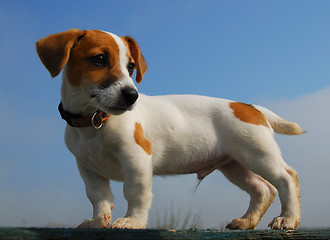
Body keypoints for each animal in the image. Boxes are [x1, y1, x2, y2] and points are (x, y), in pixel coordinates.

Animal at [35, 29, 304, 230]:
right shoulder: (88, 167)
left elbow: (135, 192)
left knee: (286, 177)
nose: (132, 96)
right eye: (99, 59)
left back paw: (288, 218)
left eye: (130, 67)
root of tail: (249, 107)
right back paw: (247, 221)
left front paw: (132, 221)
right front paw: (98, 222)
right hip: (234, 165)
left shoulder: (136, 158)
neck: (94, 121)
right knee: (262, 189)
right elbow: (98, 197)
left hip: (257, 154)